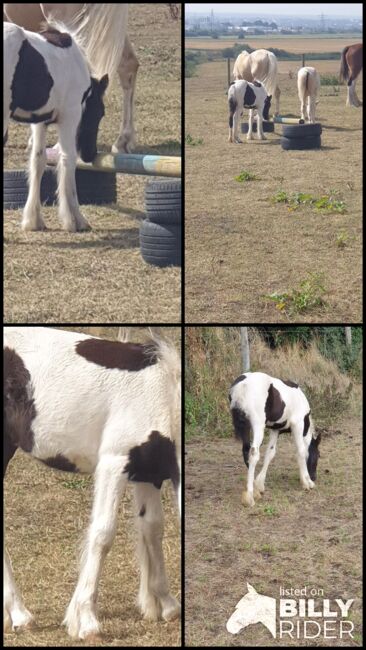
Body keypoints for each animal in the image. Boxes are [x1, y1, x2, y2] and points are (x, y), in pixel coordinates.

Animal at [2, 326, 180, 640]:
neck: (164, 395)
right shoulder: (114, 463)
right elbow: (102, 534)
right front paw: (85, 620)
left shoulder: (149, 472)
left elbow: (152, 528)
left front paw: (165, 604)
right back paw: (20, 614)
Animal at [3, 22, 108, 230]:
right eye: (100, 112)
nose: (90, 154)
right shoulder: (70, 114)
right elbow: (67, 159)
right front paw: (75, 219)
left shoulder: (39, 120)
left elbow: (38, 160)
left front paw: (33, 220)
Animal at [229, 370, 320, 506]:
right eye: (318, 455)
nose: (314, 477)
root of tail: (242, 385)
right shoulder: (297, 424)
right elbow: (301, 451)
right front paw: (307, 482)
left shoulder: (275, 430)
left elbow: (270, 453)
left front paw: (260, 484)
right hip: (258, 425)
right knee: (253, 454)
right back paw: (250, 495)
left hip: (246, 427)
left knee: (246, 451)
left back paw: (254, 490)